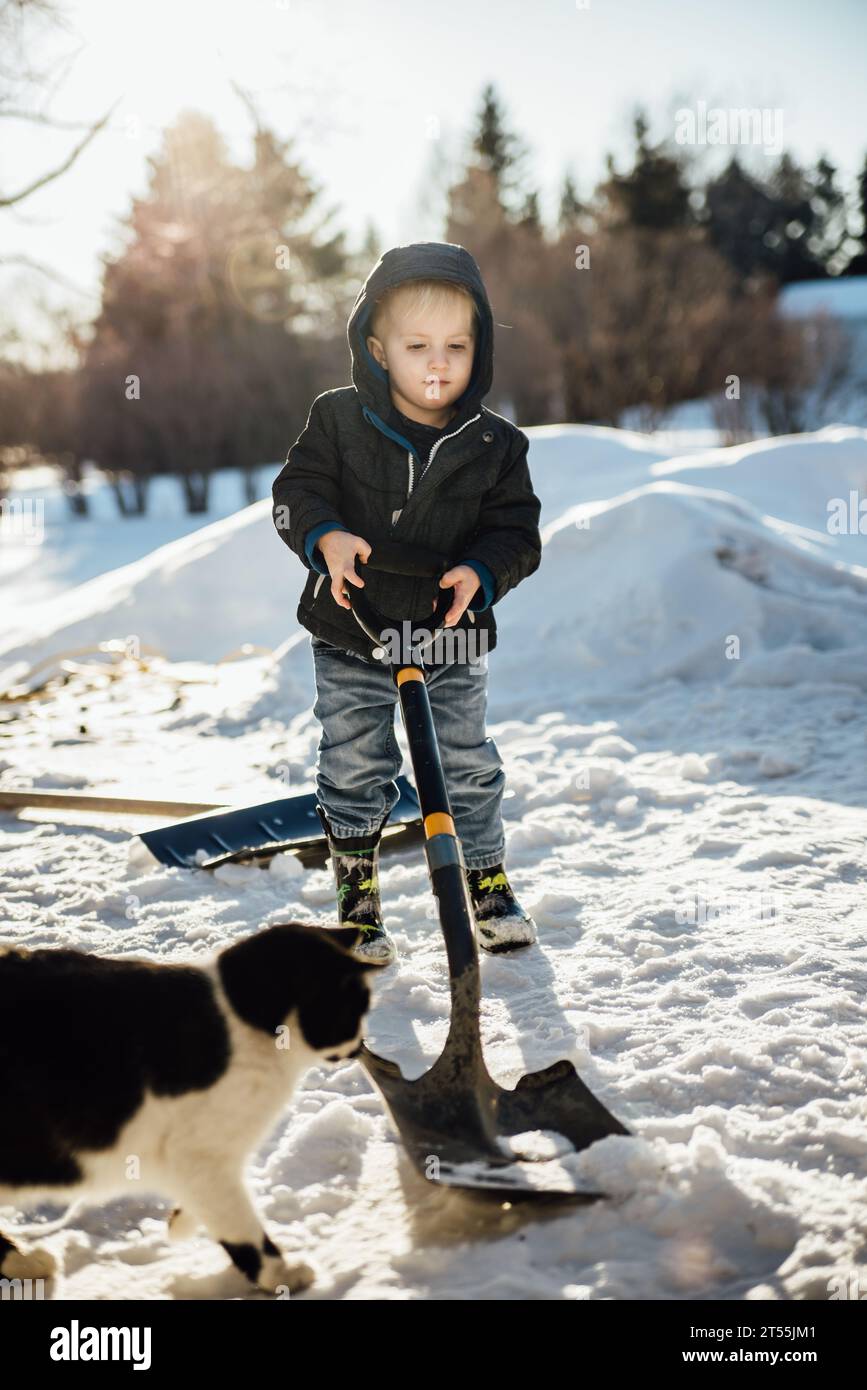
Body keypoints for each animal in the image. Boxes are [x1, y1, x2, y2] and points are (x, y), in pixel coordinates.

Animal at [0, 922, 372, 1289]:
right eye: (356, 1011)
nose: (359, 1046)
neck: (240, 1019)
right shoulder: (198, 1155)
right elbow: (242, 1225)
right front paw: (280, 1275)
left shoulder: (200, 1162)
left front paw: (180, 1222)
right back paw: (26, 1262)